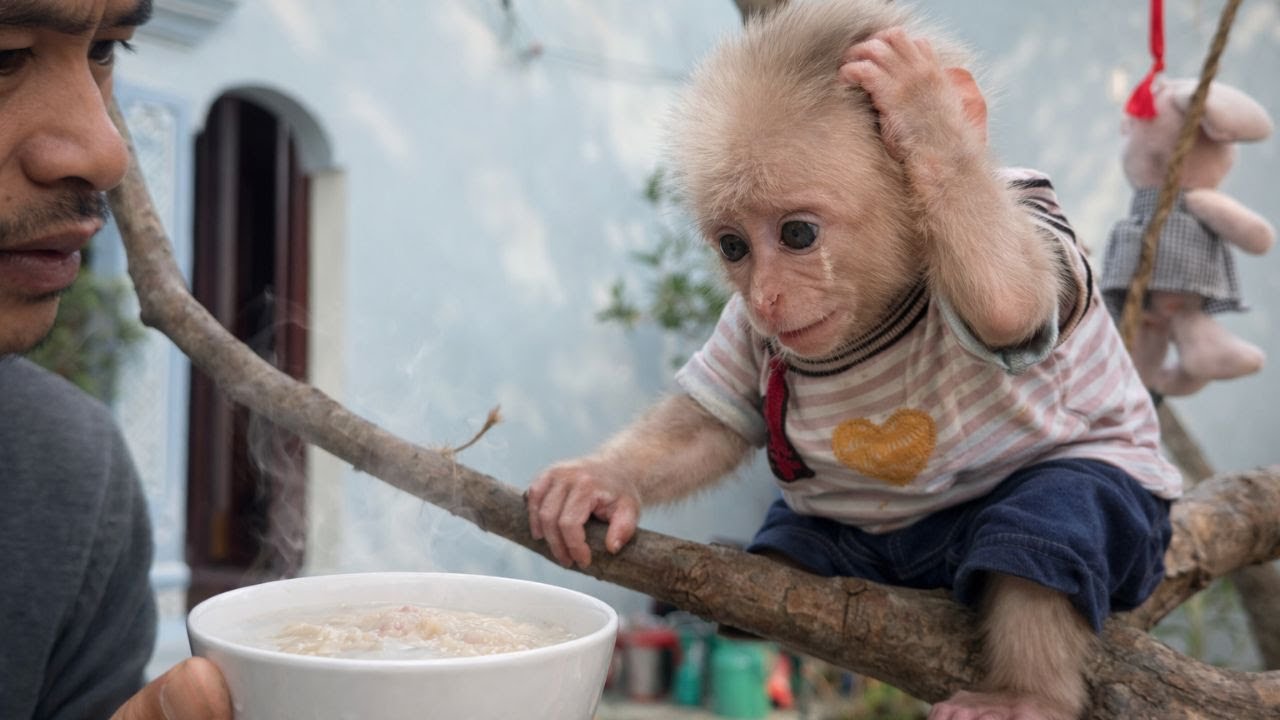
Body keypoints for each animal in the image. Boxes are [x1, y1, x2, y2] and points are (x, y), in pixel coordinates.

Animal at [525, 2, 1181, 719]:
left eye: (797, 234)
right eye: (733, 246)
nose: (767, 297)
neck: (886, 313)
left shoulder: (1038, 212)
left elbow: (1011, 305)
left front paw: (924, 111)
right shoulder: (744, 333)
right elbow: (709, 424)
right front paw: (599, 482)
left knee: (1050, 525)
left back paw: (1026, 693)